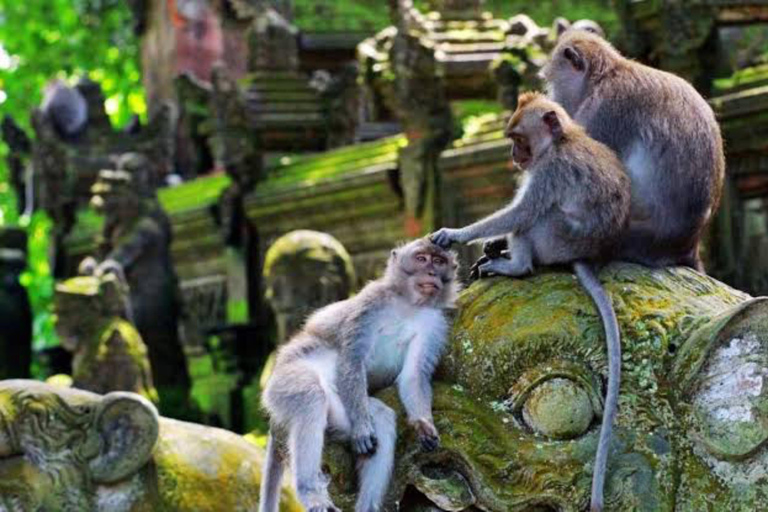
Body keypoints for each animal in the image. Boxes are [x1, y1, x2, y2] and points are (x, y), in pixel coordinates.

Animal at [259, 238, 459, 512]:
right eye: (421, 259)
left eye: (439, 261)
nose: (431, 273)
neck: (408, 305)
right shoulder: (371, 304)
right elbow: (352, 360)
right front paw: (364, 429)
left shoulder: (435, 323)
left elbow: (414, 376)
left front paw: (423, 423)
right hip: (285, 381)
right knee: (311, 397)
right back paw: (310, 492)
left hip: (341, 412)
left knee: (381, 418)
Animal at [430, 92, 629, 512]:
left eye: (519, 138)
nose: (513, 155)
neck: (561, 142)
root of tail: (585, 255)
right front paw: (489, 243)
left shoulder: (548, 172)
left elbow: (520, 212)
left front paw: (456, 234)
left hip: (554, 237)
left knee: (533, 218)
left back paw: (515, 265)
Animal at [541, 29, 725, 271]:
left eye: (552, 83)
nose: (553, 100)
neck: (604, 76)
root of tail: (687, 246)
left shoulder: (604, 110)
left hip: (629, 237)